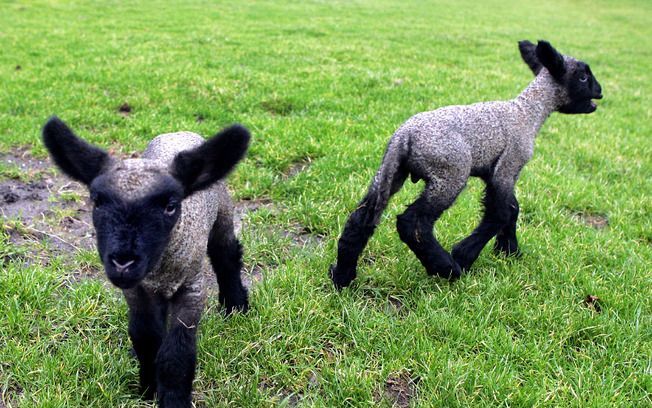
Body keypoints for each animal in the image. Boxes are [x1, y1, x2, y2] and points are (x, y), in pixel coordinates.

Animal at [40, 116, 250, 406]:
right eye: (97, 202)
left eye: (170, 206)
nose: (123, 263)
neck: (160, 268)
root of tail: (178, 132)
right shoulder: (136, 290)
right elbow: (146, 338)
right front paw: (148, 388)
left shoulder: (192, 289)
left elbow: (176, 354)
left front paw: (173, 399)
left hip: (222, 211)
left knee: (226, 255)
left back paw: (236, 305)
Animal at [328, 39, 604, 288]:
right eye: (583, 77)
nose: (600, 91)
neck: (528, 112)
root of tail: (404, 136)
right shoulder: (508, 165)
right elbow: (501, 213)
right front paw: (465, 254)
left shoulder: (493, 175)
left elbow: (512, 208)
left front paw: (509, 251)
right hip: (450, 173)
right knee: (413, 223)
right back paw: (447, 268)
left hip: (391, 172)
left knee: (361, 218)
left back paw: (342, 276)